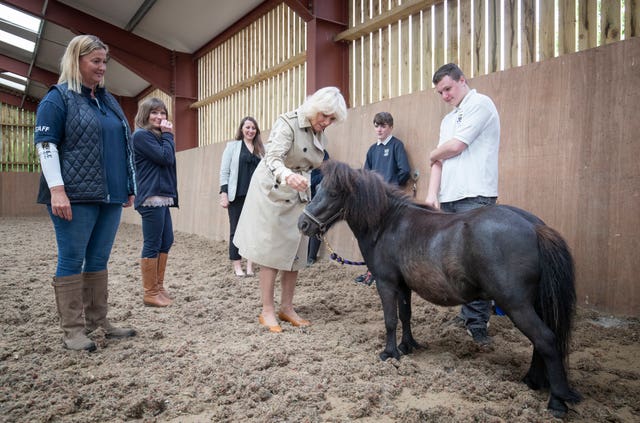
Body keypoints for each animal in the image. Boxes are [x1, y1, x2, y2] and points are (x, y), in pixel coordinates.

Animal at [298, 161, 584, 420]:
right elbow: (405, 316)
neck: (388, 224)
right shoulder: (403, 285)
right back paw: (532, 381)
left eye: (334, 192)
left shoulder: (386, 283)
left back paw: (557, 401)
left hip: (516, 305)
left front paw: (389, 354)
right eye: (318, 187)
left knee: (546, 339)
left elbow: (390, 320)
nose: (303, 224)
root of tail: (535, 226)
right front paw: (408, 346)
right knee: (541, 341)